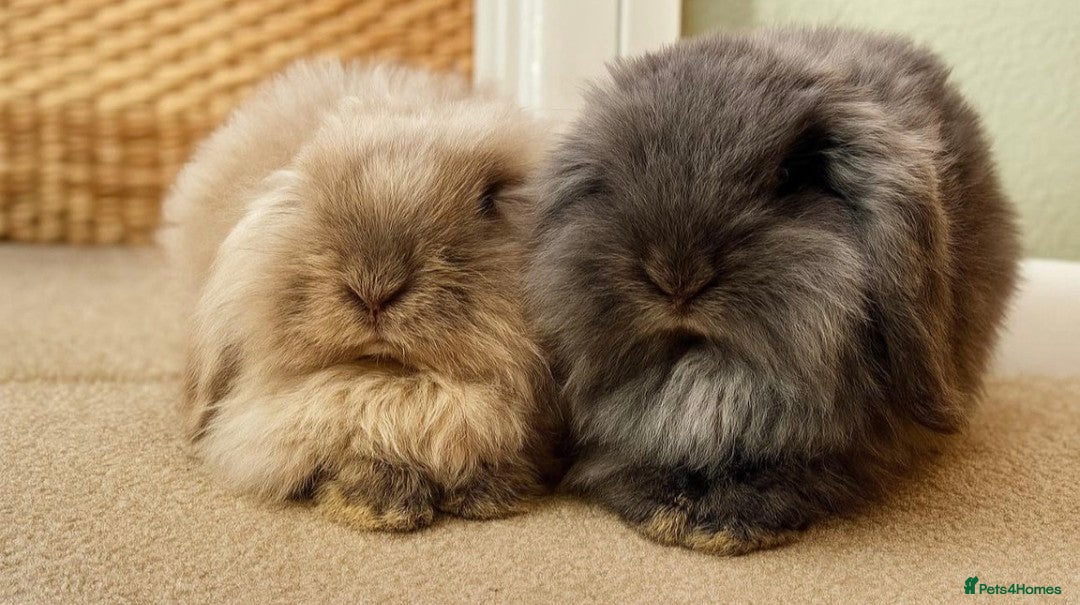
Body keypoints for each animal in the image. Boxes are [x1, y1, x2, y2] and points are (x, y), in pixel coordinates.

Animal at [159, 59, 558, 531]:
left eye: (490, 199)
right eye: (312, 184)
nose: (374, 287)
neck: (397, 383)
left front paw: (488, 495)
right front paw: (381, 505)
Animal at [527, 28, 1020, 555]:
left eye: (788, 177)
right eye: (614, 179)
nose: (677, 277)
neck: (708, 377)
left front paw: (728, 522)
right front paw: (665, 510)